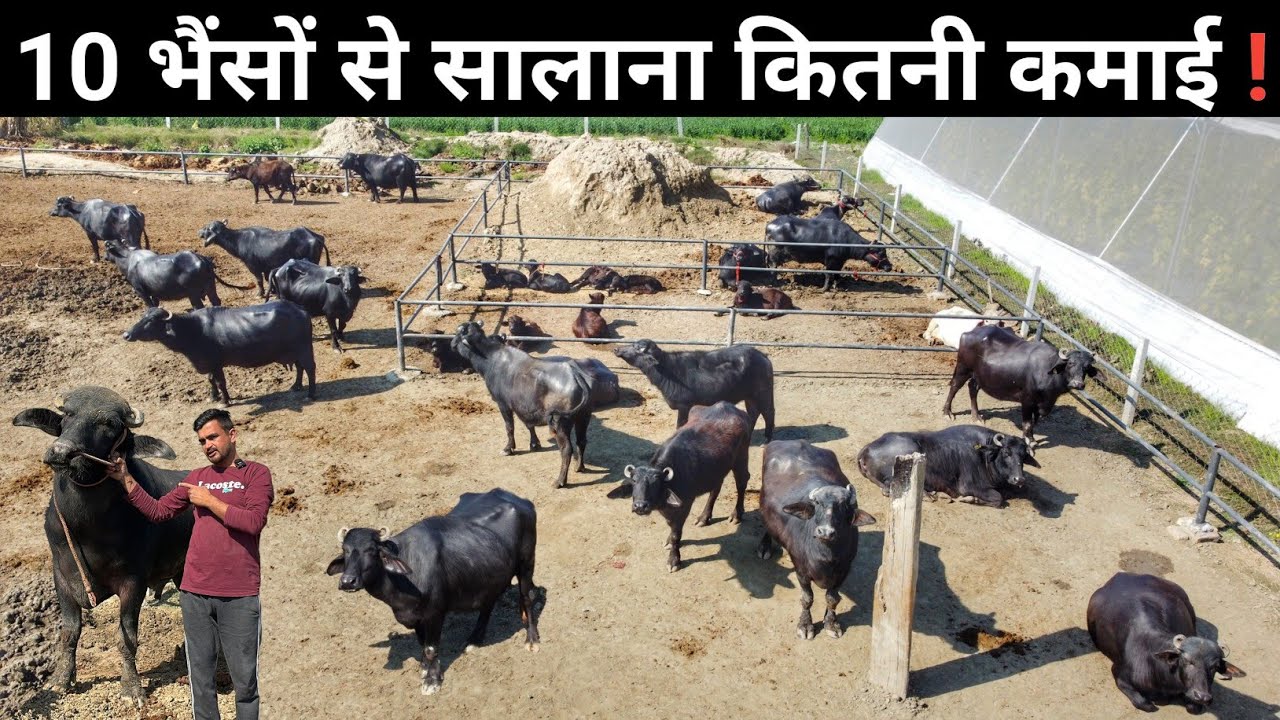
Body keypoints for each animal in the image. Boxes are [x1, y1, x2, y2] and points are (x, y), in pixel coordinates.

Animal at [12, 386, 193, 706]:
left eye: (109, 424)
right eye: (67, 414)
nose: (61, 452)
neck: (87, 528)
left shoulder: (134, 582)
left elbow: (127, 638)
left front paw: (132, 687)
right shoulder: (61, 576)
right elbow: (69, 632)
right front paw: (60, 680)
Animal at [942, 324, 1098, 442]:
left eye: (1086, 367)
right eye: (1070, 363)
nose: (1077, 384)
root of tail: (970, 332)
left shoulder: (1040, 405)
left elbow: (1034, 423)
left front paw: (1031, 438)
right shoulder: (1027, 401)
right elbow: (1027, 424)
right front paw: (1030, 442)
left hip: (979, 375)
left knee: (972, 388)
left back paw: (976, 416)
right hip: (963, 368)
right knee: (955, 386)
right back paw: (947, 412)